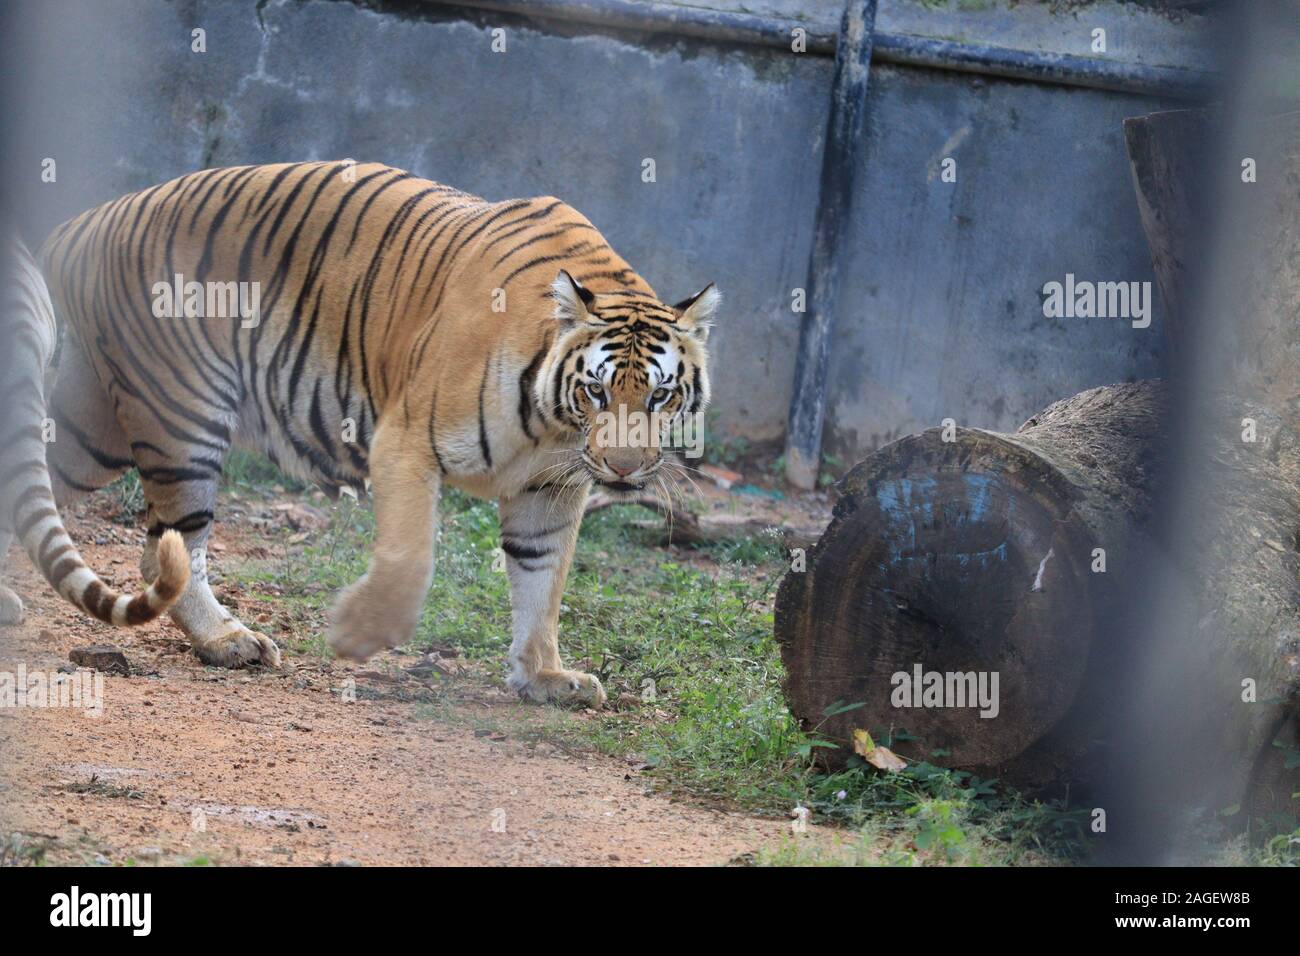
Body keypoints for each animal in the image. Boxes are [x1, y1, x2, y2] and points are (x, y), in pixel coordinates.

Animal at [35, 162, 722, 702]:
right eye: (597, 391)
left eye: (660, 395)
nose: (625, 470)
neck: (551, 425)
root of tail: (77, 228)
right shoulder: (407, 439)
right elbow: (410, 559)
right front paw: (355, 635)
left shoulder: (550, 488)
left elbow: (543, 579)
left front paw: (543, 677)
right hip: (183, 412)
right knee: (167, 546)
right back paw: (230, 641)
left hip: (97, 429)